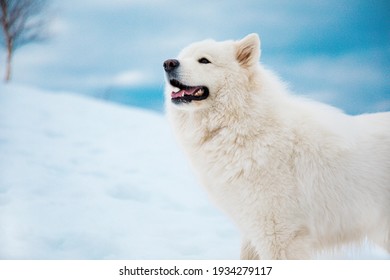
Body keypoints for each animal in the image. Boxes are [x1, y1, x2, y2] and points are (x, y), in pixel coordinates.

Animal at [163, 34, 388, 260]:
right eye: (182, 56)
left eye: (204, 60)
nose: (168, 63)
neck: (243, 127)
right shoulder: (252, 229)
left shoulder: (279, 234)